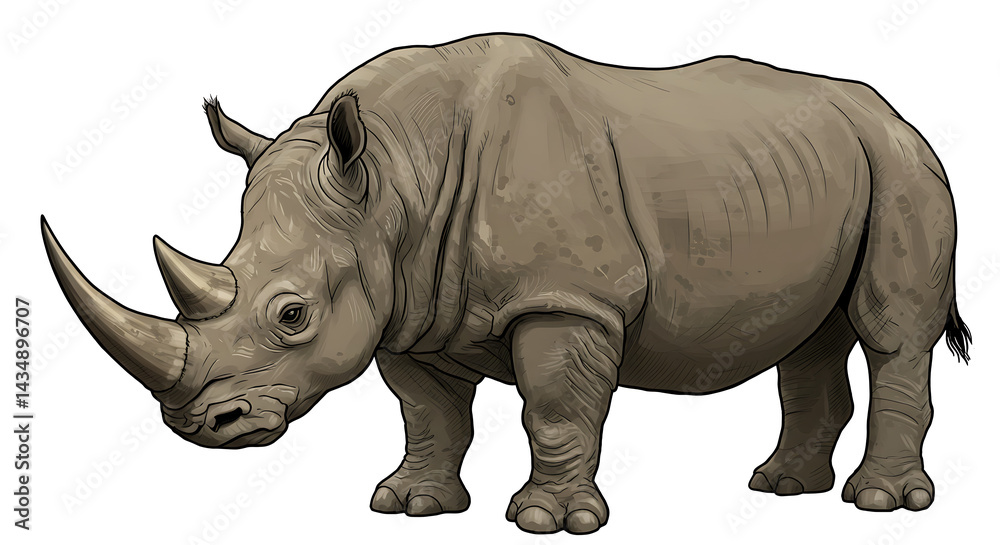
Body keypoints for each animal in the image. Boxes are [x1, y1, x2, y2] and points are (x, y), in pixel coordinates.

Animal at [42, 33, 970, 534]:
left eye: (293, 313)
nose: (203, 425)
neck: (395, 178)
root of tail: (895, 113)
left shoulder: (569, 297)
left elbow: (554, 405)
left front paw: (548, 521)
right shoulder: (404, 304)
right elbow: (428, 412)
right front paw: (410, 505)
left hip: (906, 163)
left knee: (893, 334)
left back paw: (880, 503)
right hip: (832, 168)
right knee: (810, 339)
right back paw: (780, 487)